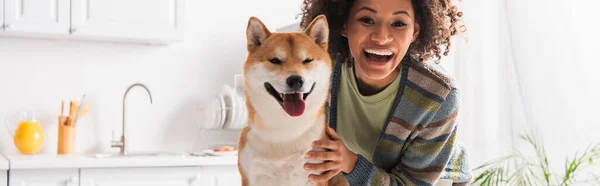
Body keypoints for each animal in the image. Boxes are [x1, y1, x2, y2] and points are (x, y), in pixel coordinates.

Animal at [234, 15, 346, 186]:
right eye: (275, 60)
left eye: (307, 60)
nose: (295, 80)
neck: (285, 130)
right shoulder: (251, 177)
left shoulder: (315, 175)